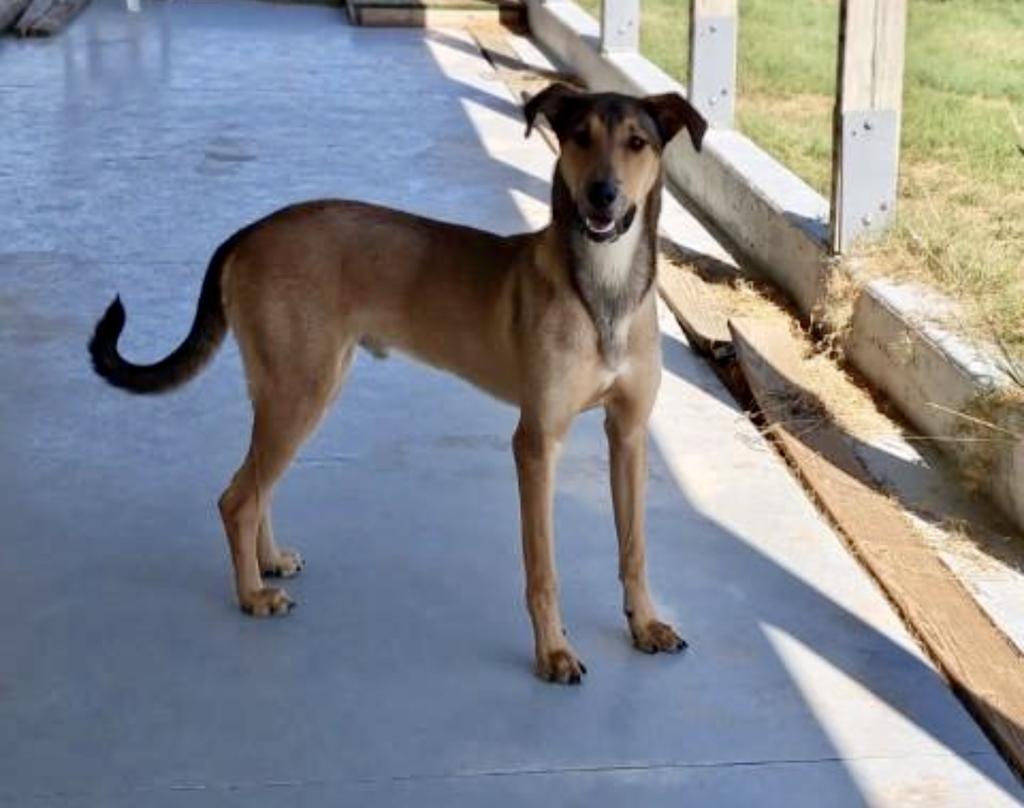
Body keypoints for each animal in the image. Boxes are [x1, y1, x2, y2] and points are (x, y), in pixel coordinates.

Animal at [90, 84, 704, 684]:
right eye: (579, 137)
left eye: (637, 143)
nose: (603, 195)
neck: (604, 289)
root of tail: (250, 231)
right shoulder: (536, 442)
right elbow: (543, 569)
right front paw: (552, 652)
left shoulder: (628, 434)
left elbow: (635, 548)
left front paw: (646, 625)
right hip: (302, 390)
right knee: (236, 498)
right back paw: (251, 597)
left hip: (295, 385)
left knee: (256, 485)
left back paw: (267, 563)